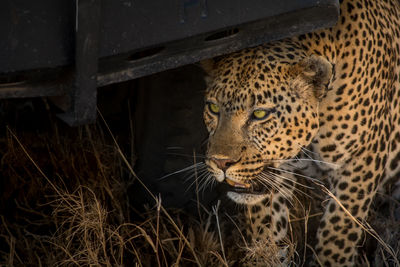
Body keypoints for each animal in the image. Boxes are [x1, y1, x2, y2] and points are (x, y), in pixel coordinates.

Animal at [202, 0, 400, 266]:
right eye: (213, 109)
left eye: (260, 114)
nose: (221, 162)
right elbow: (266, 232)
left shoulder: (361, 160)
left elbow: (339, 230)